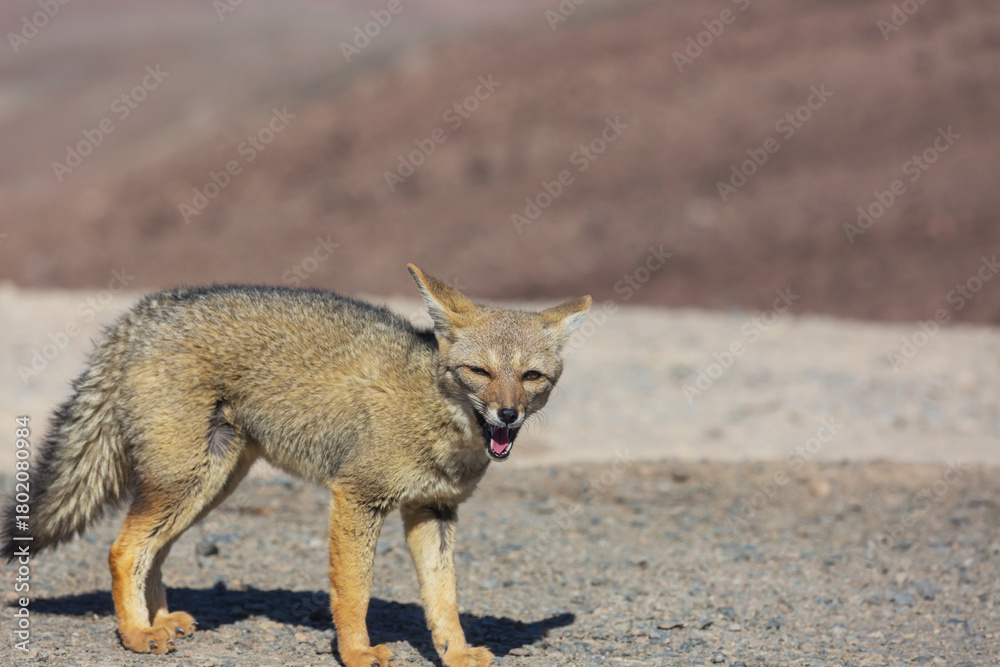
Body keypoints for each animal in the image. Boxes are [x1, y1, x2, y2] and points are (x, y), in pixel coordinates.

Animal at [1, 265, 590, 667]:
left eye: (532, 377)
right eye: (479, 372)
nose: (508, 415)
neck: (431, 409)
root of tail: (144, 312)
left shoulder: (434, 511)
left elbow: (443, 597)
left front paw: (456, 652)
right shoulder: (357, 496)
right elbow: (353, 591)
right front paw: (356, 654)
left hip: (210, 483)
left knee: (153, 550)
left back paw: (160, 621)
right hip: (186, 480)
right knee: (123, 550)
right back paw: (137, 635)